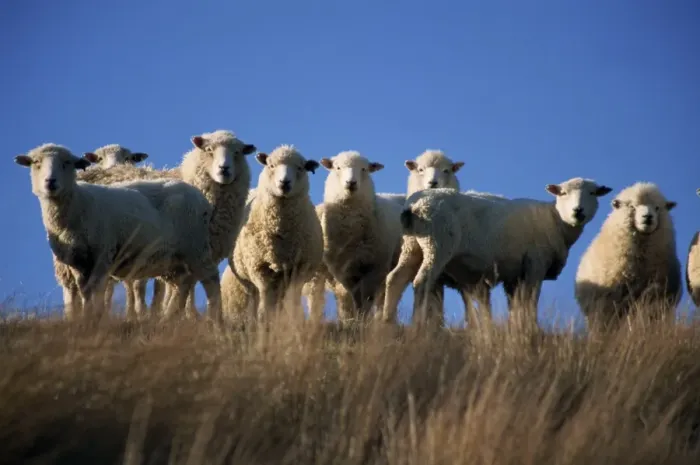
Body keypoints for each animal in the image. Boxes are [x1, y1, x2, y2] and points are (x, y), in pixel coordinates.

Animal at [221, 145, 323, 323]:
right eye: (271, 165)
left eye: (300, 168)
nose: (284, 183)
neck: (280, 229)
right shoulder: (260, 268)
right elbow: (265, 306)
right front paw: (265, 323)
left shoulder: (299, 268)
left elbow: (294, 302)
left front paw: (295, 322)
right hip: (248, 278)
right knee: (255, 300)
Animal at [301, 151, 403, 322]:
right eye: (337, 167)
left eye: (364, 169)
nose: (351, 183)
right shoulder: (345, 272)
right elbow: (354, 298)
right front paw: (355, 320)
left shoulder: (374, 267)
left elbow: (367, 298)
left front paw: (363, 320)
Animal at [396, 177, 612, 328]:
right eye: (563, 193)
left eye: (593, 193)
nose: (578, 211)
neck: (556, 220)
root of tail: (415, 204)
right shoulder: (535, 263)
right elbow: (531, 300)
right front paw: (531, 328)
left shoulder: (513, 274)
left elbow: (515, 305)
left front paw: (517, 329)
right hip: (438, 244)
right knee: (421, 282)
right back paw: (417, 325)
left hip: (412, 245)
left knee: (395, 279)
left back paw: (390, 320)